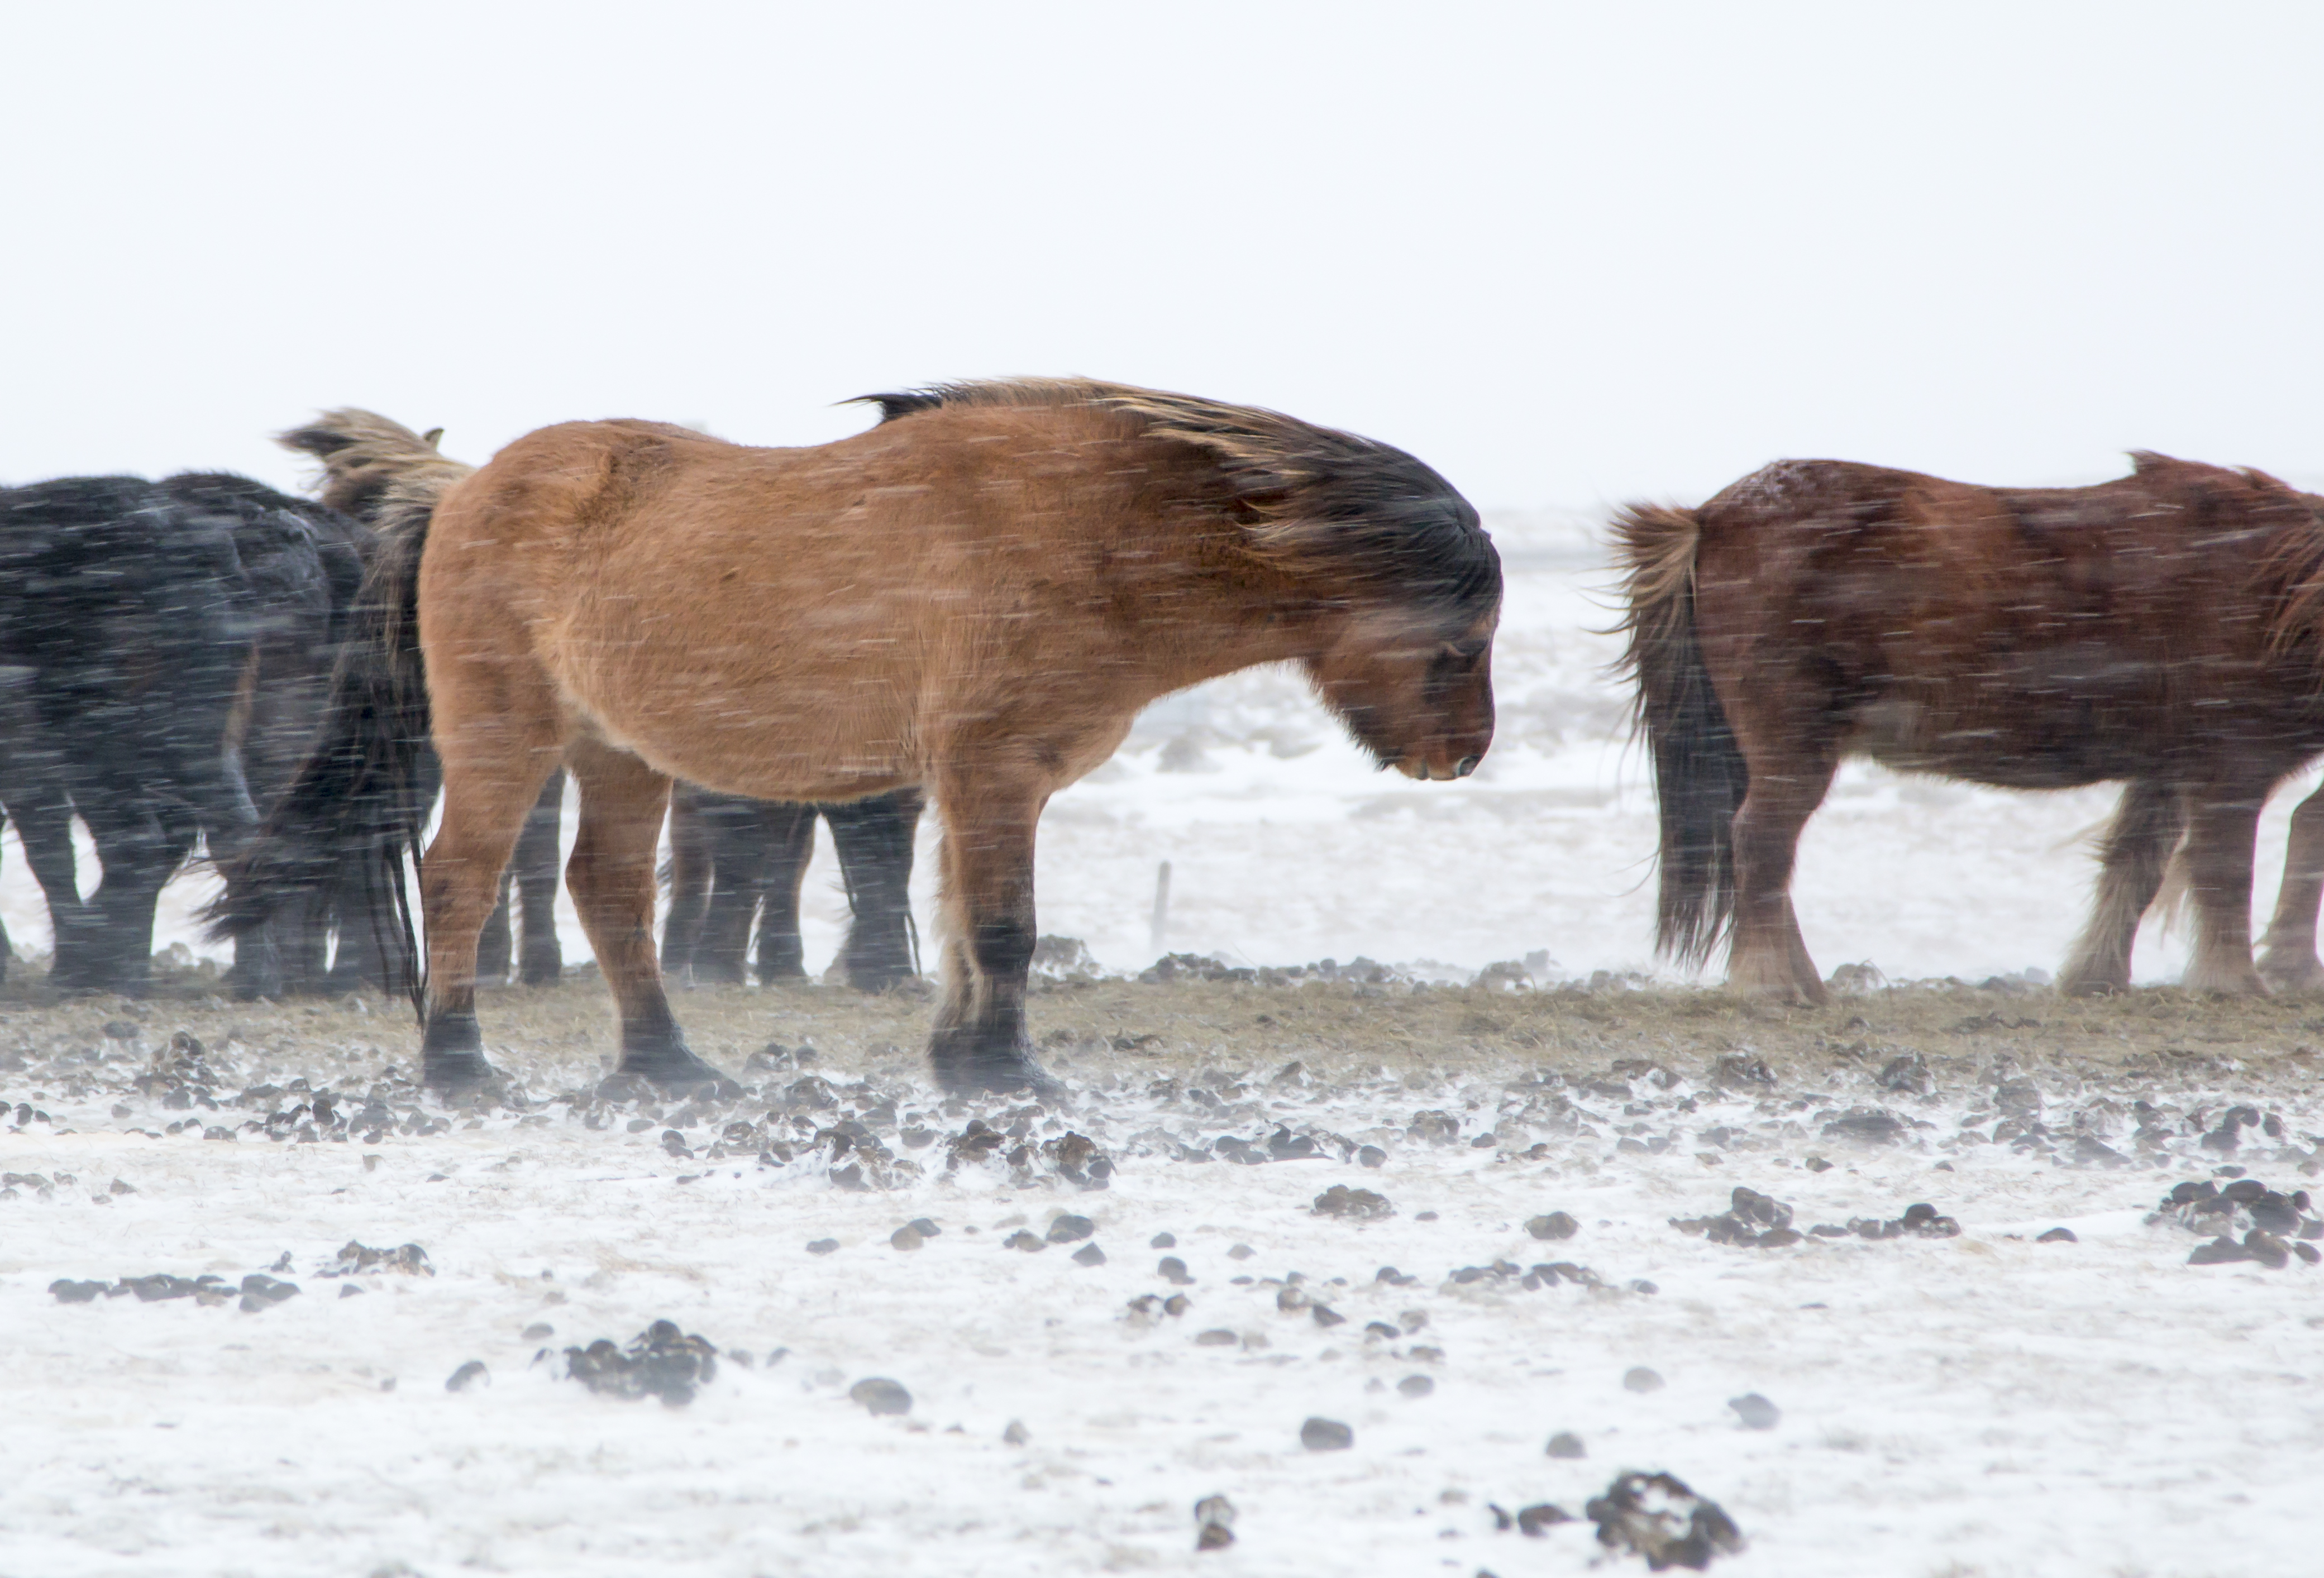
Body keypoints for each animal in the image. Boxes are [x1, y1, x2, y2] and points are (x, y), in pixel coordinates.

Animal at [0, 469, 360, 994]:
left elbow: (49, 853)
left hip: (107, 734)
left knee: (136, 841)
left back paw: (96, 969)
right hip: (213, 733)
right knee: (245, 836)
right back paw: (256, 977)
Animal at [213, 383, 1487, 1097]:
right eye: (1461, 635)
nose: (1463, 757)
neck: (1089, 530)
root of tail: (468, 487)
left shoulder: (988, 785)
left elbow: (966, 928)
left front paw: (963, 1062)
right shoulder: (990, 771)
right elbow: (1004, 930)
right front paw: (1006, 1077)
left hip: (619, 753)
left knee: (609, 890)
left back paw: (667, 1070)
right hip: (507, 735)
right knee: (461, 880)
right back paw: (460, 1068)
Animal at [1617, 451, 2324, 1003]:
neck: (2278, 588)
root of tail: (1710, 518)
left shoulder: (2167, 768)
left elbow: (2136, 864)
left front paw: (2095, 977)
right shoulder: (2231, 766)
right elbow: (2225, 869)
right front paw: (2235, 982)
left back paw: (1807, 984)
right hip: (1793, 748)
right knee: (1761, 843)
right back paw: (1768, 984)